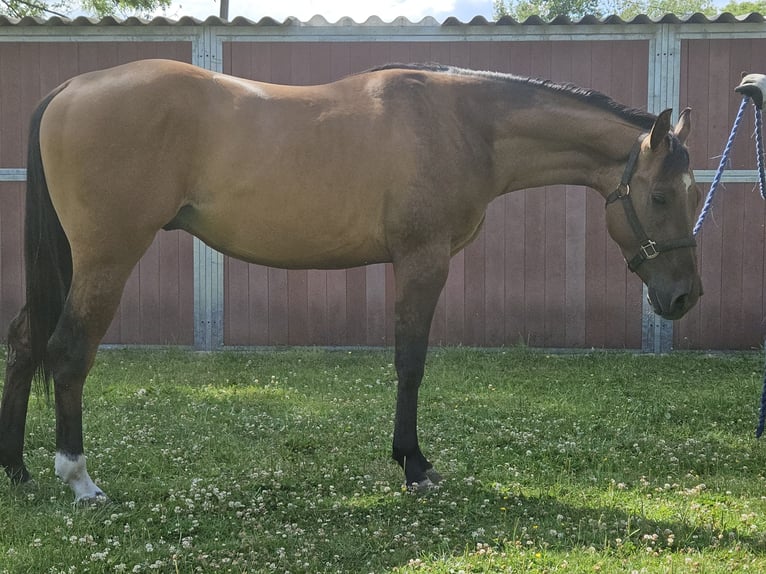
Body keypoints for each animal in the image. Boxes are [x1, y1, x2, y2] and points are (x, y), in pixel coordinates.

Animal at [0, 60, 702, 503]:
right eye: (661, 195)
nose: (685, 296)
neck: (461, 124)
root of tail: (72, 87)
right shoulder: (422, 261)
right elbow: (410, 363)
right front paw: (415, 465)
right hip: (106, 259)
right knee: (68, 352)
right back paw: (78, 480)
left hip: (69, 261)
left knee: (27, 344)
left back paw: (18, 470)